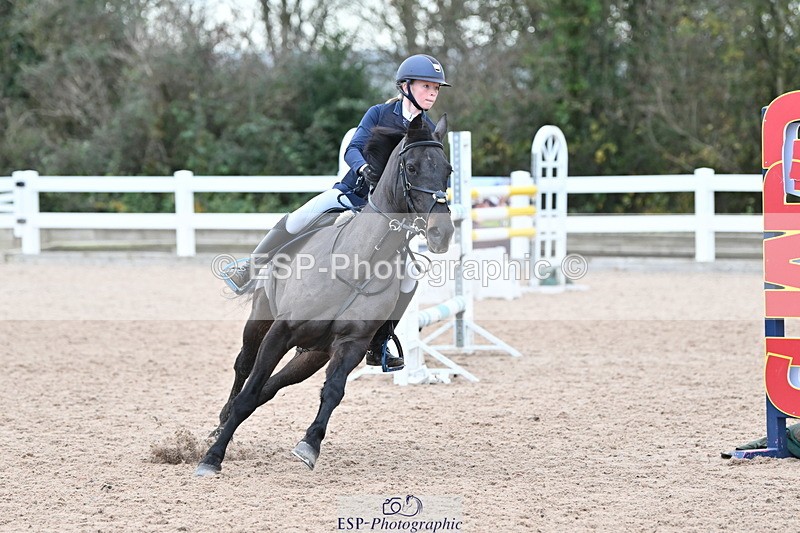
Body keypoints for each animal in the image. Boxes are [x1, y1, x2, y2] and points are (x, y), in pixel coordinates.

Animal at [195, 113, 454, 476]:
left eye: (447, 170)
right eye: (413, 167)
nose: (441, 233)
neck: (359, 263)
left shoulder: (352, 345)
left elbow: (332, 392)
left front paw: (309, 445)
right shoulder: (280, 332)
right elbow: (249, 390)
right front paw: (212, 458)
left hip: (312, 355)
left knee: (270, 388)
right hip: (260, 321)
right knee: (244, 370)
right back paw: (220, 425)